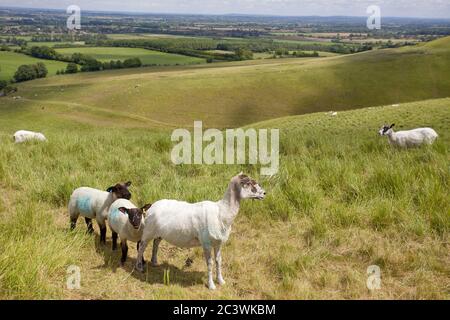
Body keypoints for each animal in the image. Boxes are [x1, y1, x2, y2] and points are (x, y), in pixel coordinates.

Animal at [135, 172, 266, 290]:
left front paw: (221, 281)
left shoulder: (218, 243)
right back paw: (139, 267)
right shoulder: (206, 243)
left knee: (156, 243)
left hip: (159, 233)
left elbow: (219, 261)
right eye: (249, 183)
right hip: (148, 232)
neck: (221, 212)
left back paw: (154, 262)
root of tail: (152, 206)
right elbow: (210, 263)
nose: (264, 193)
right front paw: (212, 285)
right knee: (141, 247)